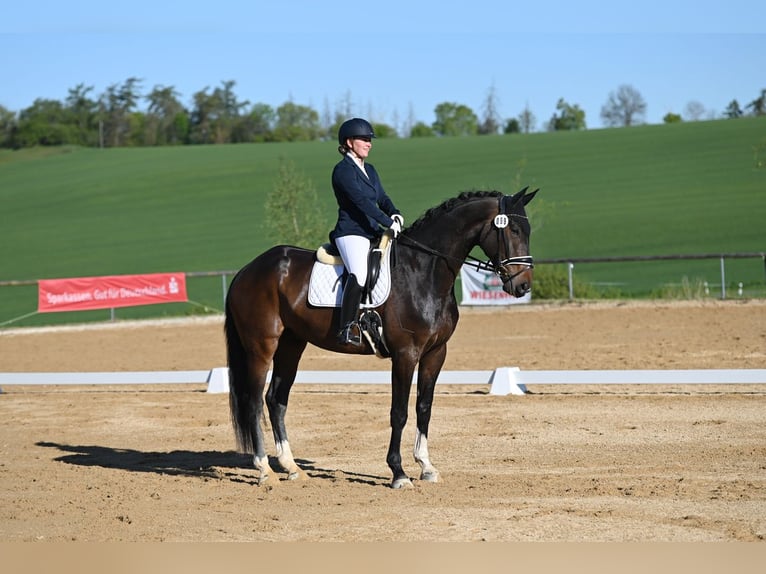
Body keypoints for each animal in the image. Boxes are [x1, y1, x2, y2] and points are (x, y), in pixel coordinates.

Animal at [224, 186, 537, 488]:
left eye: (527, 230)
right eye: (514, 230)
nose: (522, 286)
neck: (424, 270)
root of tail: (247, 270)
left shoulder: (436, 352)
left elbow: (424, 407)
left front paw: (427, 467)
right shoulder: (405, 353)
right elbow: (398, 412)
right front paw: (398, 473)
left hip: (291, 344)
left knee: (276, 400)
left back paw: (292, 468)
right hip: (262, 346)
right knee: (253, 402)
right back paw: (265, 470)